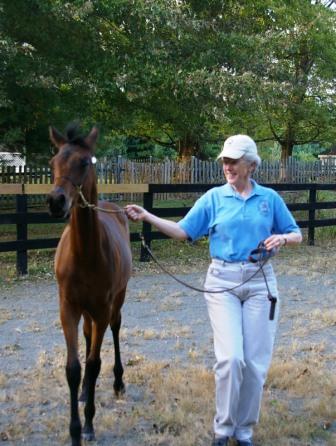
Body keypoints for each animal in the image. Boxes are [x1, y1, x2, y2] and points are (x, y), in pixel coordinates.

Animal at [47, 124, 131, 446]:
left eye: (84, 162)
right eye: (53, 162)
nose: (56, 201)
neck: (84, 253)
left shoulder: (102, 309)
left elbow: (94, 364)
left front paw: (89, 425)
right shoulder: (67, 308)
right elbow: (73, 367)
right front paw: (74, 430)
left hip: (116, 300)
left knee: (116, 329)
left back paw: (118, 382)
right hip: (85, 311)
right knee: (86, 334)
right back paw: (84, 392)